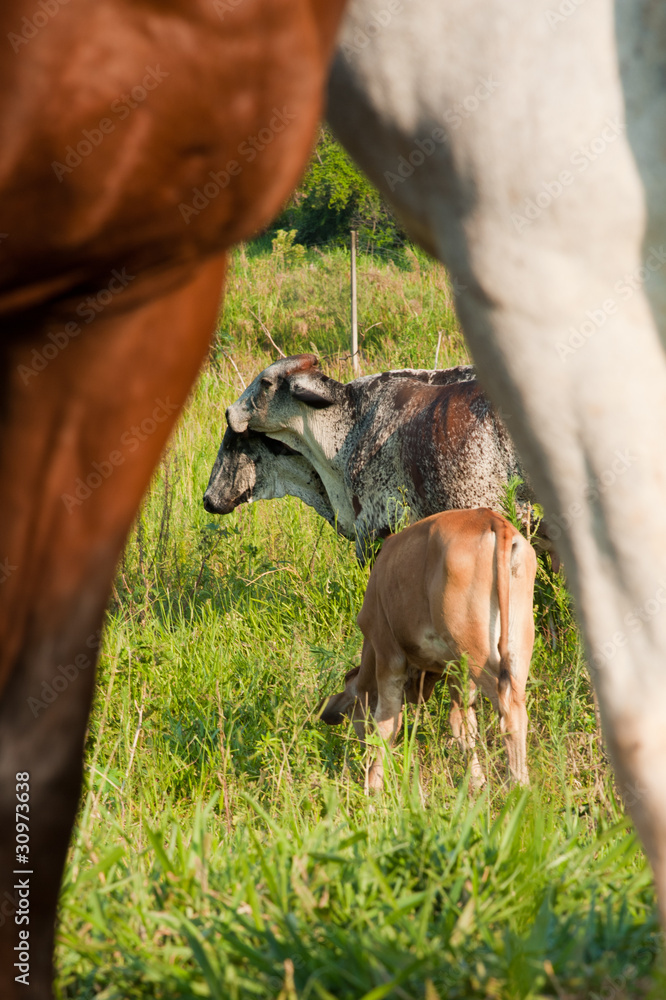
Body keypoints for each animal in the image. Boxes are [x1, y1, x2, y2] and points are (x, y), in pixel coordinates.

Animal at [318, 508, 537, 791]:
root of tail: (488, 518)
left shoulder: (388, 655)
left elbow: (387, 724)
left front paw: (373, 788)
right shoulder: (456, 673)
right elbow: (462, 723)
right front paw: (476, 783)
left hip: (474, 649)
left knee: (507, 708)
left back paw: (517, 787)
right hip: (515, 644)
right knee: (518, 708)